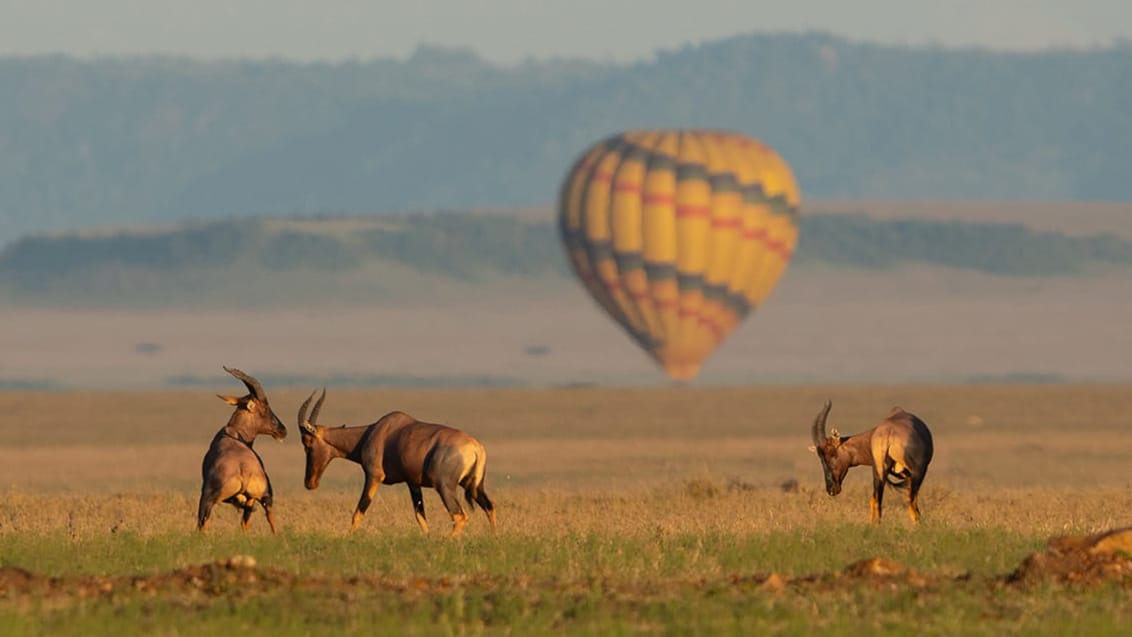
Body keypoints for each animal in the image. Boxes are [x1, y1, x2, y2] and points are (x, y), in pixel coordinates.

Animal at [194, 368, 285, 534]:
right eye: (265, 408)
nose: (282, 430)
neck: (232, 432)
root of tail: (245, 471)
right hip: (265, 497)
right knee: (268, 521)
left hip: (207, 498)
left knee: (203, 523)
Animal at [296, 391, 495, 536]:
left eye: (307, 443)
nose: (309, 483)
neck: (375, 431)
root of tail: (476, 447)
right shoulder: (412, 483)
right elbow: (420, 516)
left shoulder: (374, 476)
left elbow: (359, 511)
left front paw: (348, 538)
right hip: (473, 485)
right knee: (489, 507)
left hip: (445, 487)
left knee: (459, 516)